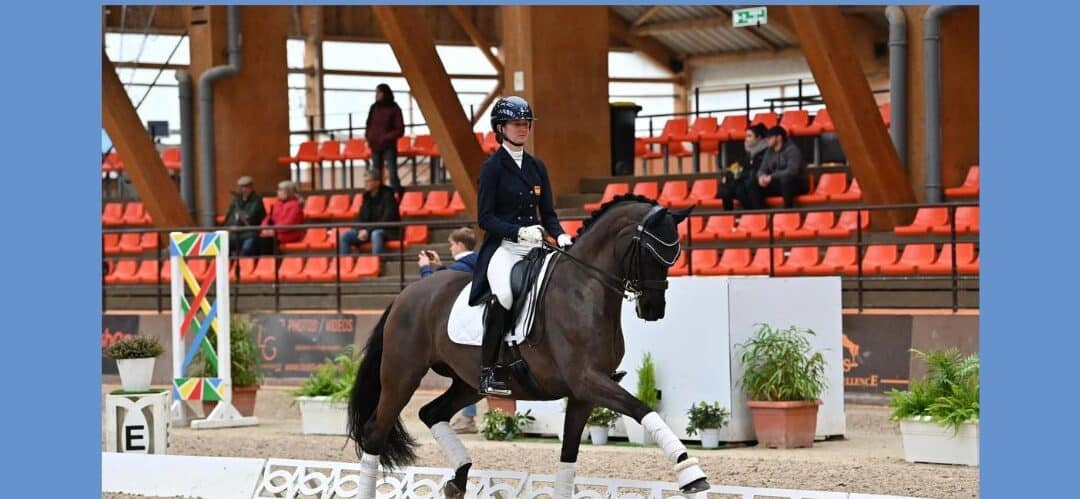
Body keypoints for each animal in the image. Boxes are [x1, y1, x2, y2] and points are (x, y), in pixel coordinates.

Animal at [349, 194, 712, 494]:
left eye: (674, 254)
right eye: (651, 253)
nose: (653, 310)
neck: (584, 290)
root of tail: (407, 294)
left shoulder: (583, 394)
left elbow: (568, 458)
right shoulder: (588, 380)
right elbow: (642, 408)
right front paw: (689, 471)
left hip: (468, 383)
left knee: (430, 412)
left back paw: (459, 478)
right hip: (402, 374)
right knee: (375, 432)